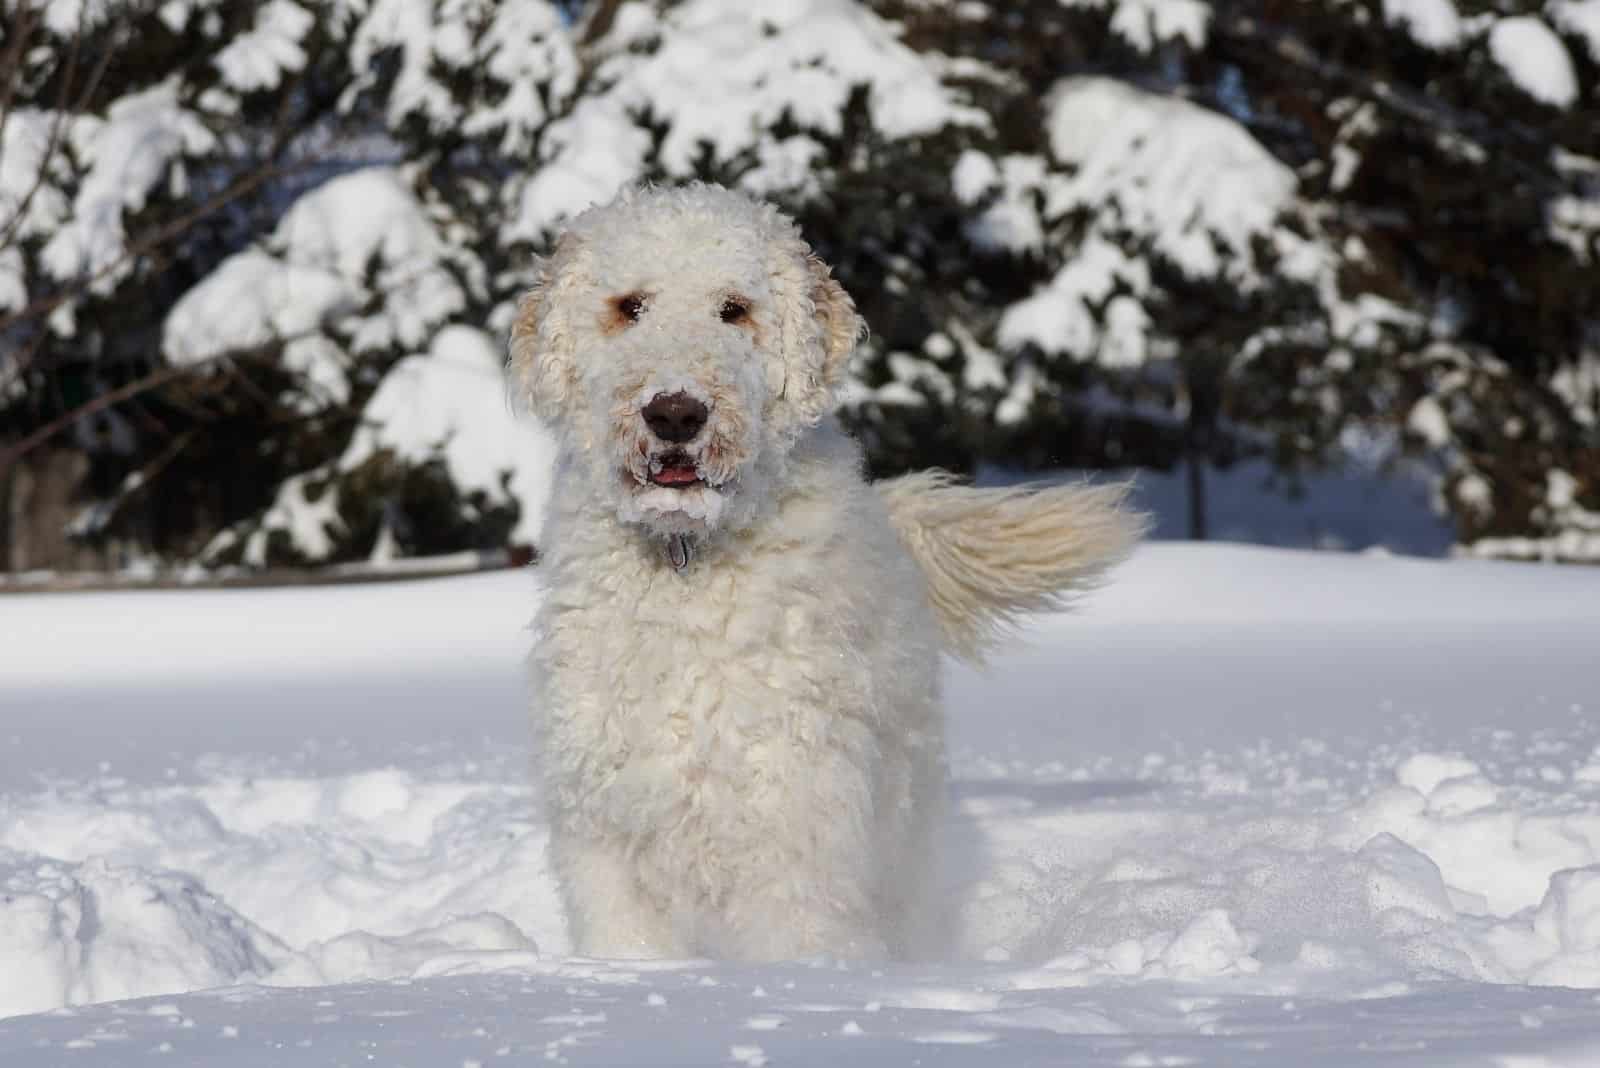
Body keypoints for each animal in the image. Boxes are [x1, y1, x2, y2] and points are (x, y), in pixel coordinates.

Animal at [512, 187, 1139, 965]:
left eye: (734, 308)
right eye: (631, 306)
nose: (676, 412)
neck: (690, 561)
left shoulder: (794, 819)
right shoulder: (606, 826)